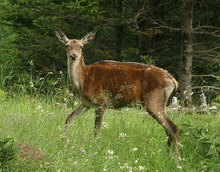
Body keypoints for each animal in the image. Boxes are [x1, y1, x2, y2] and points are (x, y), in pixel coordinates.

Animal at [55, 28, 182, 166]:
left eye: (81, 46)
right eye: (67, 45)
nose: (73, 56)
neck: (83, 81)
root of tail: (173, 81)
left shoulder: (101, 102)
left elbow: (96, 130)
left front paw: (94, 150)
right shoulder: (86, 103)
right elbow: (68, 119)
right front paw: (63, 145)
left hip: (153, 101)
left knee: (173, 127)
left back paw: (177, 162)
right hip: (161, 104)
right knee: (167, 129)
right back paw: (168, 155)